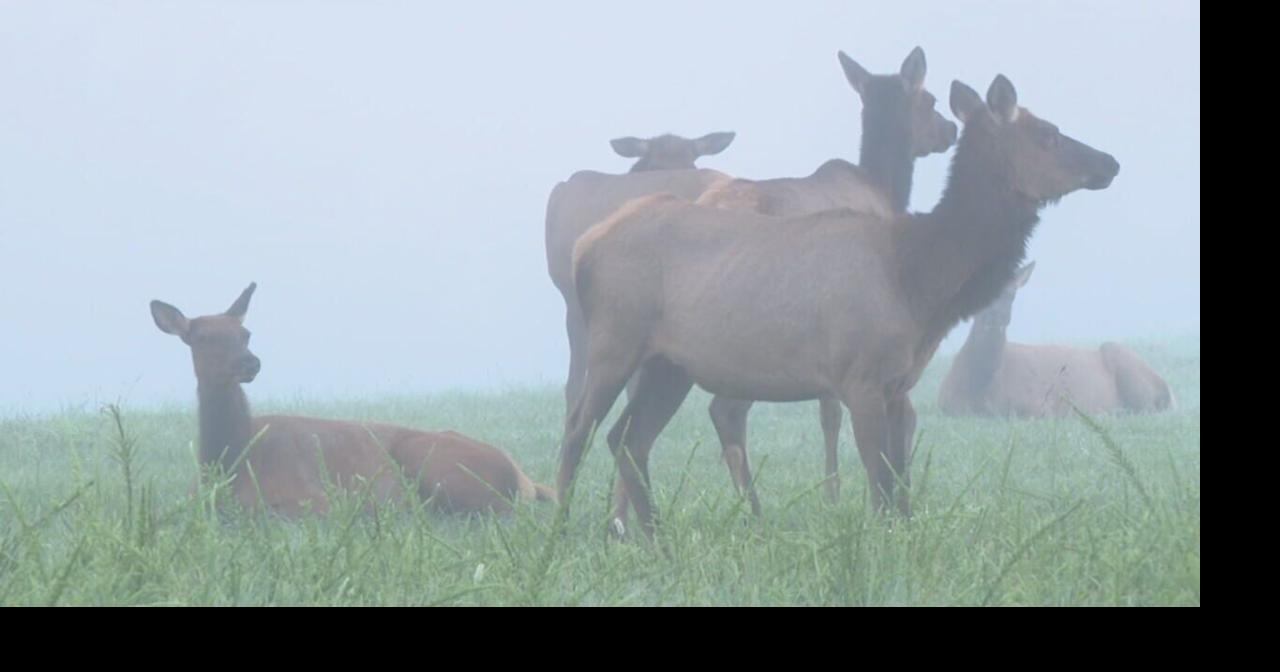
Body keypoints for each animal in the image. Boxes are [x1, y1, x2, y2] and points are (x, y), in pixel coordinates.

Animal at [150, 283, 555, 517]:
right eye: (201, 337)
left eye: (245, 333)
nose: (250, 363)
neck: (228, 464)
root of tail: (525, 480)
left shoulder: (312, 497)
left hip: (437, 463)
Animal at [560, 74, 1120, 540]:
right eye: (1048, 135)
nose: (1111, 162)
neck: (919, 279)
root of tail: (584, 246)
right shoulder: (861, 377)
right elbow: (879, 488)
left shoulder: (897, 383)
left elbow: (900, 488)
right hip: (614, 342)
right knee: (577, 430)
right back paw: (561, 532)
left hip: (670, 365)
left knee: (627, 439)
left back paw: (658, 540)